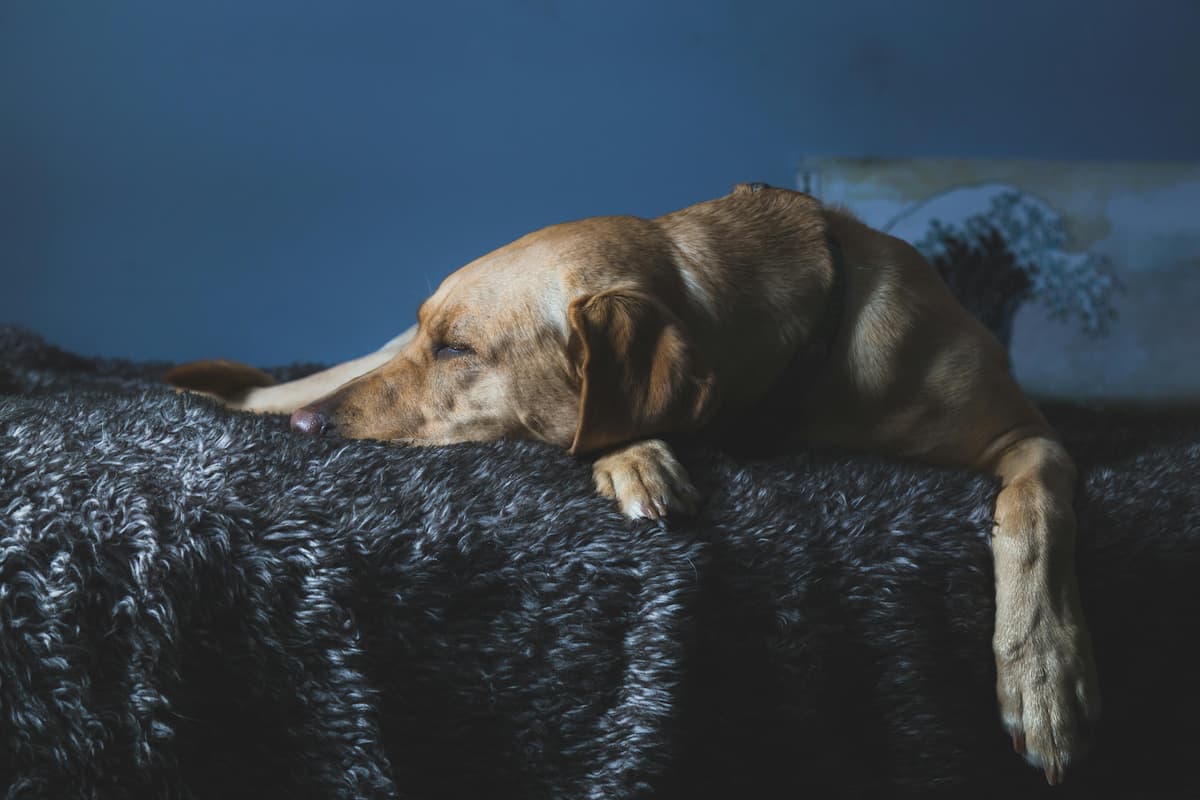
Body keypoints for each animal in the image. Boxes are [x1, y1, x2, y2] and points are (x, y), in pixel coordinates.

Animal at [166, 181, 1099, 782]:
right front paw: (636, 457)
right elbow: (611, 426)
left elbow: (1036, 517)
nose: (310, 434)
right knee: (262, 390)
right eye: (435, 336)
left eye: (460, 348)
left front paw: (1041, 674)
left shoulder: (1033, 439)